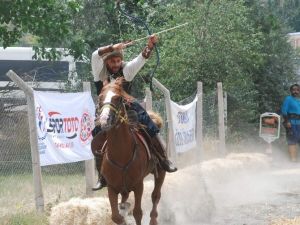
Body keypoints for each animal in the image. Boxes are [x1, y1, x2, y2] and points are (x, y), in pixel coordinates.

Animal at [92, 78, 165, 225]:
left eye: (119, 98)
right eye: (100, 97)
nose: (104, 120)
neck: (121, 155)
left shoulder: (138, 185)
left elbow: (137, 213)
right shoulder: (112, 188)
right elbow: (116, 216)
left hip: (160, 172)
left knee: (155, 196)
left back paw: (153, 219)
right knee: (125, 201)